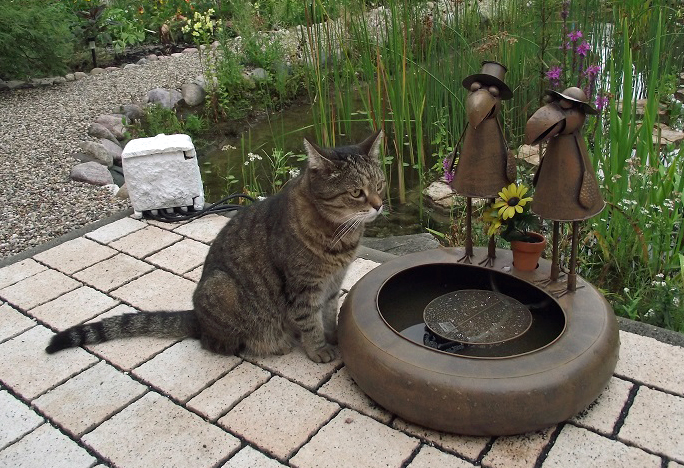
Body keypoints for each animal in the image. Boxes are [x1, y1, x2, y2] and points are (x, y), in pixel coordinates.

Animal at [46, 130, 388, 364]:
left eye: (380, 185)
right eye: (356, 192)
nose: (380, 204)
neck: (340, 235)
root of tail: (196, 317)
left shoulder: (332, 283)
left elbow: (328, 313)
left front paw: (336, 336)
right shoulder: (304, 287)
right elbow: (310, 321)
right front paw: (319, 349)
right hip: (221, 287)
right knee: (217, 343)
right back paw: (271, 344)